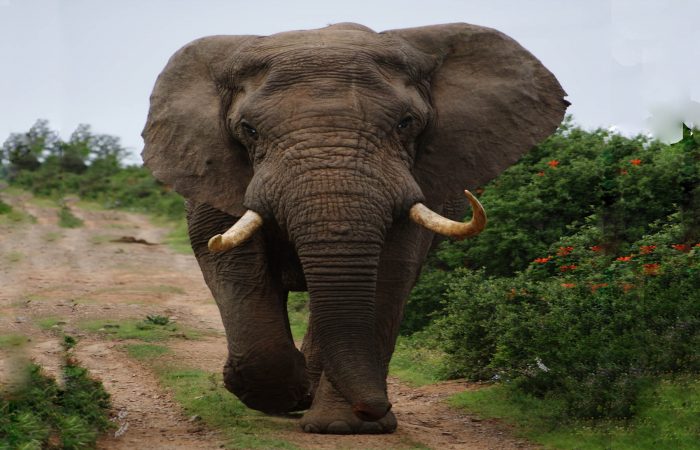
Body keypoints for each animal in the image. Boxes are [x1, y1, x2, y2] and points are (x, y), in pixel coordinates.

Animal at [142, 22, 567, 434]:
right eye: (248, 129)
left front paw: (343, 425)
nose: (375, 406)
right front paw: (283, 395)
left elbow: (390, 273)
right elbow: (231, 262)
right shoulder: (211, 169)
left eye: (406, 123)